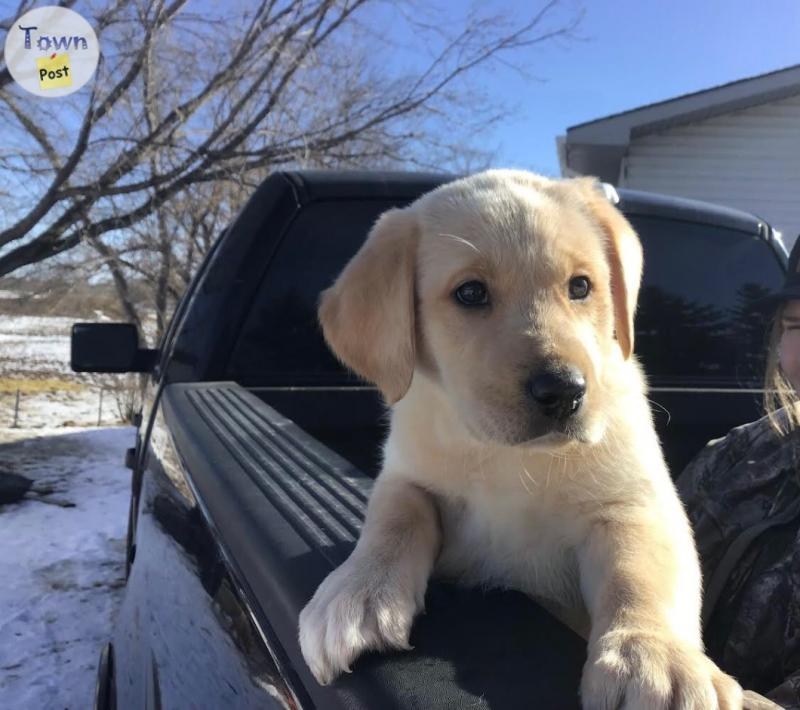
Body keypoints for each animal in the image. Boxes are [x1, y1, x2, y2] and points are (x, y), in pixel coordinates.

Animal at [298, 170, 744, 708]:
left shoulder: (637, 502)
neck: (512, 459)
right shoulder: (406, 475)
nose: (564, 391)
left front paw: (653, 657)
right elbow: (394, 520)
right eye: (470, 293)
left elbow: (638, 570)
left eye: (581, 286)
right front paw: (358, 591)